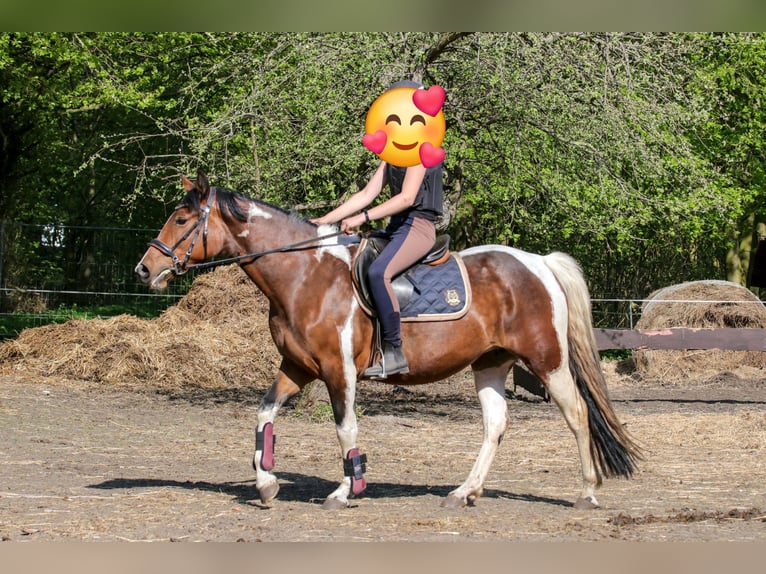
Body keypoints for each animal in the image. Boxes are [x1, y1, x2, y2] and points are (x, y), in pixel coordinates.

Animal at [135, 171, 642, 510]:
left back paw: (587, 492)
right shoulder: (297, 367)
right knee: (495, 425)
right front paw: (265, 483)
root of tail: (539, 262)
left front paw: (346, 489)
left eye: (181, 219)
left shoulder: (338, 371)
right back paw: (464, 492)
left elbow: (345, 428)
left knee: (577, 414)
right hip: (491, 363)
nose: (144, 269)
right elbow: (263, 415)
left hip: (546, 360)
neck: (305, 276)